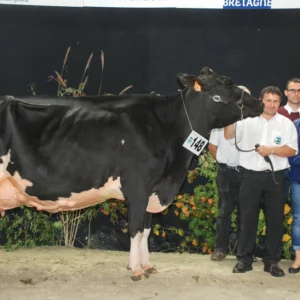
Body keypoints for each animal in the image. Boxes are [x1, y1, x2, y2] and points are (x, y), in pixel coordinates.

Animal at [0, 67, 262, 280]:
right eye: (228, 83)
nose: (259, 103)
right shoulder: (138, 187)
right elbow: (135, 229)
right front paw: (136, 270)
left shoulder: (152, 190)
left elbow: (145, 230)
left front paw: (147, 266)